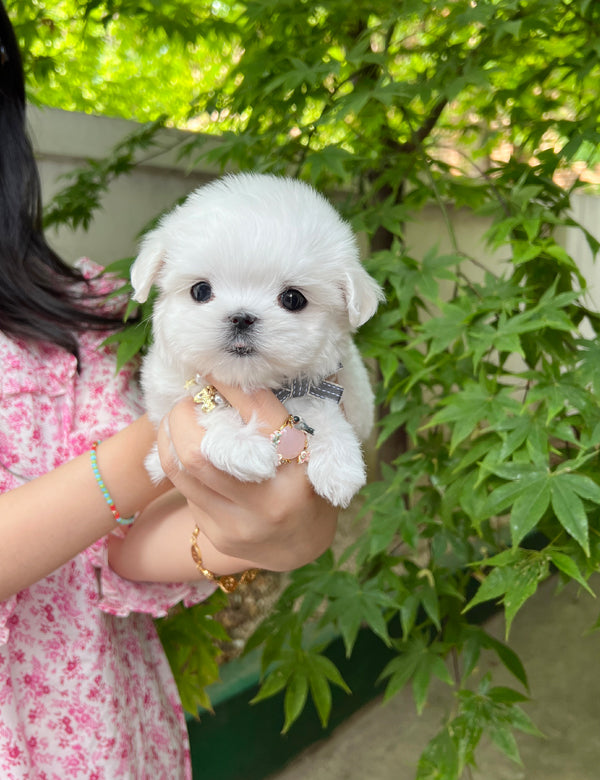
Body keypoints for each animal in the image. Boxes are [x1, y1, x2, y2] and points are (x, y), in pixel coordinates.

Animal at [132, 174, 384, 508]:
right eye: (201, 290)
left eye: (293, 299)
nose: (241, 318)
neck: (251, 382)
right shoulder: (166, 396)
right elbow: (203, 404)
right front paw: (241, 446)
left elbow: (320, 406)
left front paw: (338, 463)